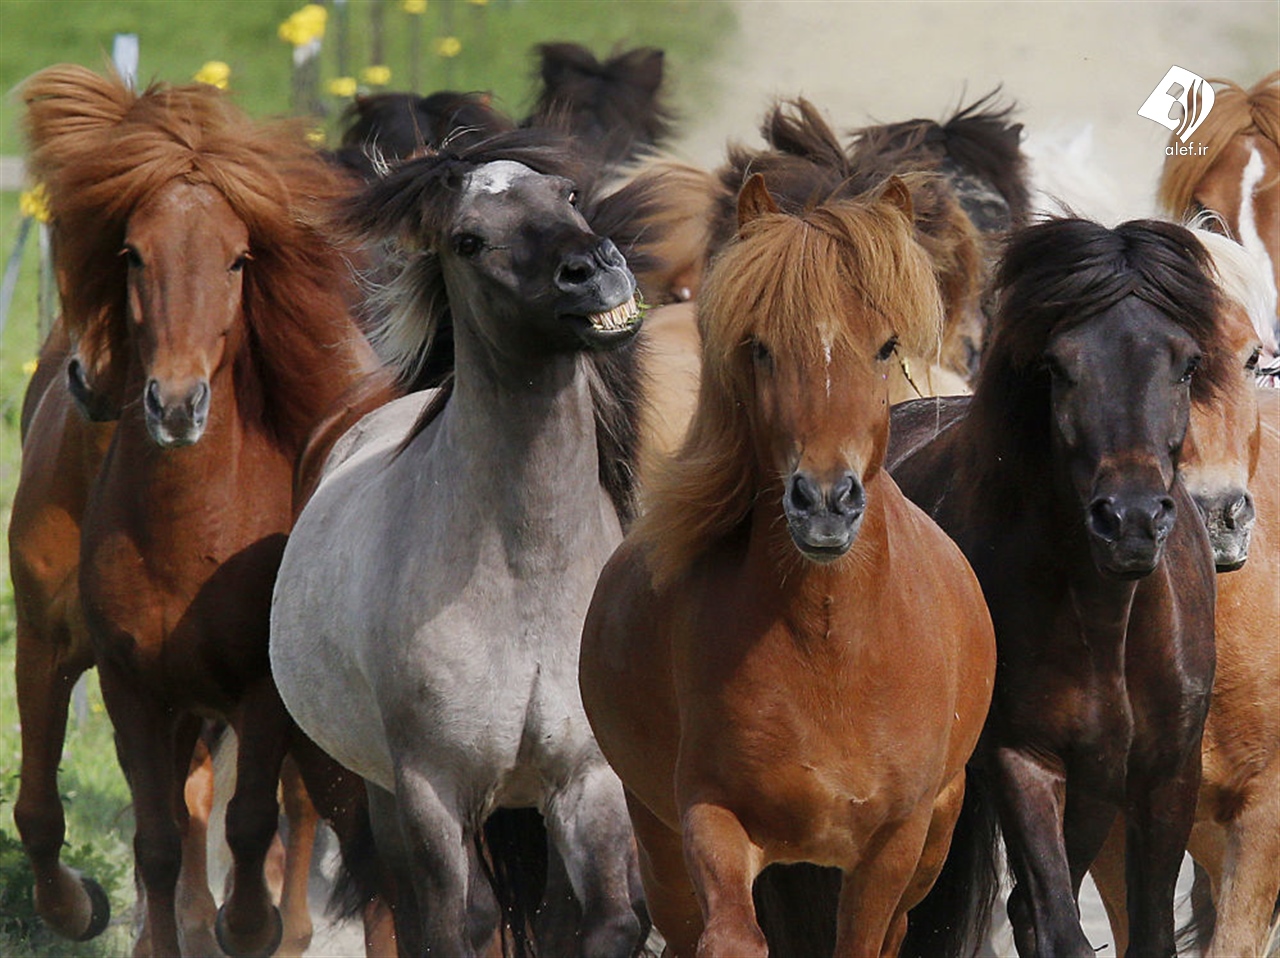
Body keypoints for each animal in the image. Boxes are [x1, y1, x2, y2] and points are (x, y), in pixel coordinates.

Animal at [12, 67, 389, 957]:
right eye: (130, 253)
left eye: (237, 259)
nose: (175, 402)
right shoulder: (96, 664)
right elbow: (80, 818)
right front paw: (88, 910)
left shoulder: (258, 686)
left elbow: (252, 824)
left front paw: (250, 924)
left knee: (297, 810)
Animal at [271, 129, 650, 957]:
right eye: (469, 240)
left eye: (568, 195)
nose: (594, 268)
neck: (525, 577)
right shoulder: (434, 790)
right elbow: (457, 923)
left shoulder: (586, 777)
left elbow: (608, 921)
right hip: (387, 796)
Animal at [581, 175, 998, 952]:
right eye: (760, 349)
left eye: (886, 346)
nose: (824, 501)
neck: (829, 647)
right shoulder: (710, 817)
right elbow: (733, 937)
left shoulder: (892, 847)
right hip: (658, 840)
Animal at [885, 216, 1223, 957]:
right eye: (1058, 368)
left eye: (1185, 364)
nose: (1130, 520)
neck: (1110, 623)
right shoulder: (1024, 761)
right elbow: (1057, 924)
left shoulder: (1165, 774)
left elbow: (1149, 931)